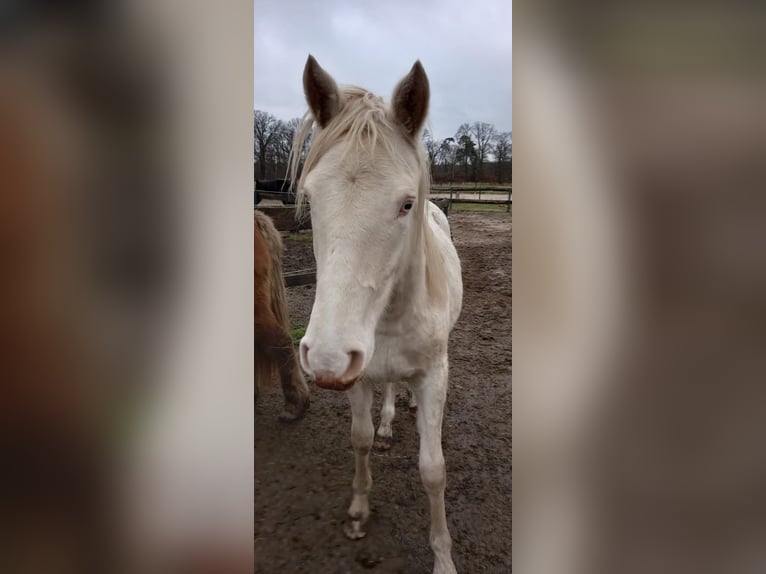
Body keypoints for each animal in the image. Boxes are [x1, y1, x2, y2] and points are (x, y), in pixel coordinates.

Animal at [292, 55, 464, 574]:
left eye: (406, 203)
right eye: (310, 199)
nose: (325, 359)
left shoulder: (434, 375)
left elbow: (433, 470)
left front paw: (443, 557)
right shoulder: (359, 375)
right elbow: (361, 439)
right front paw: (358, 511)